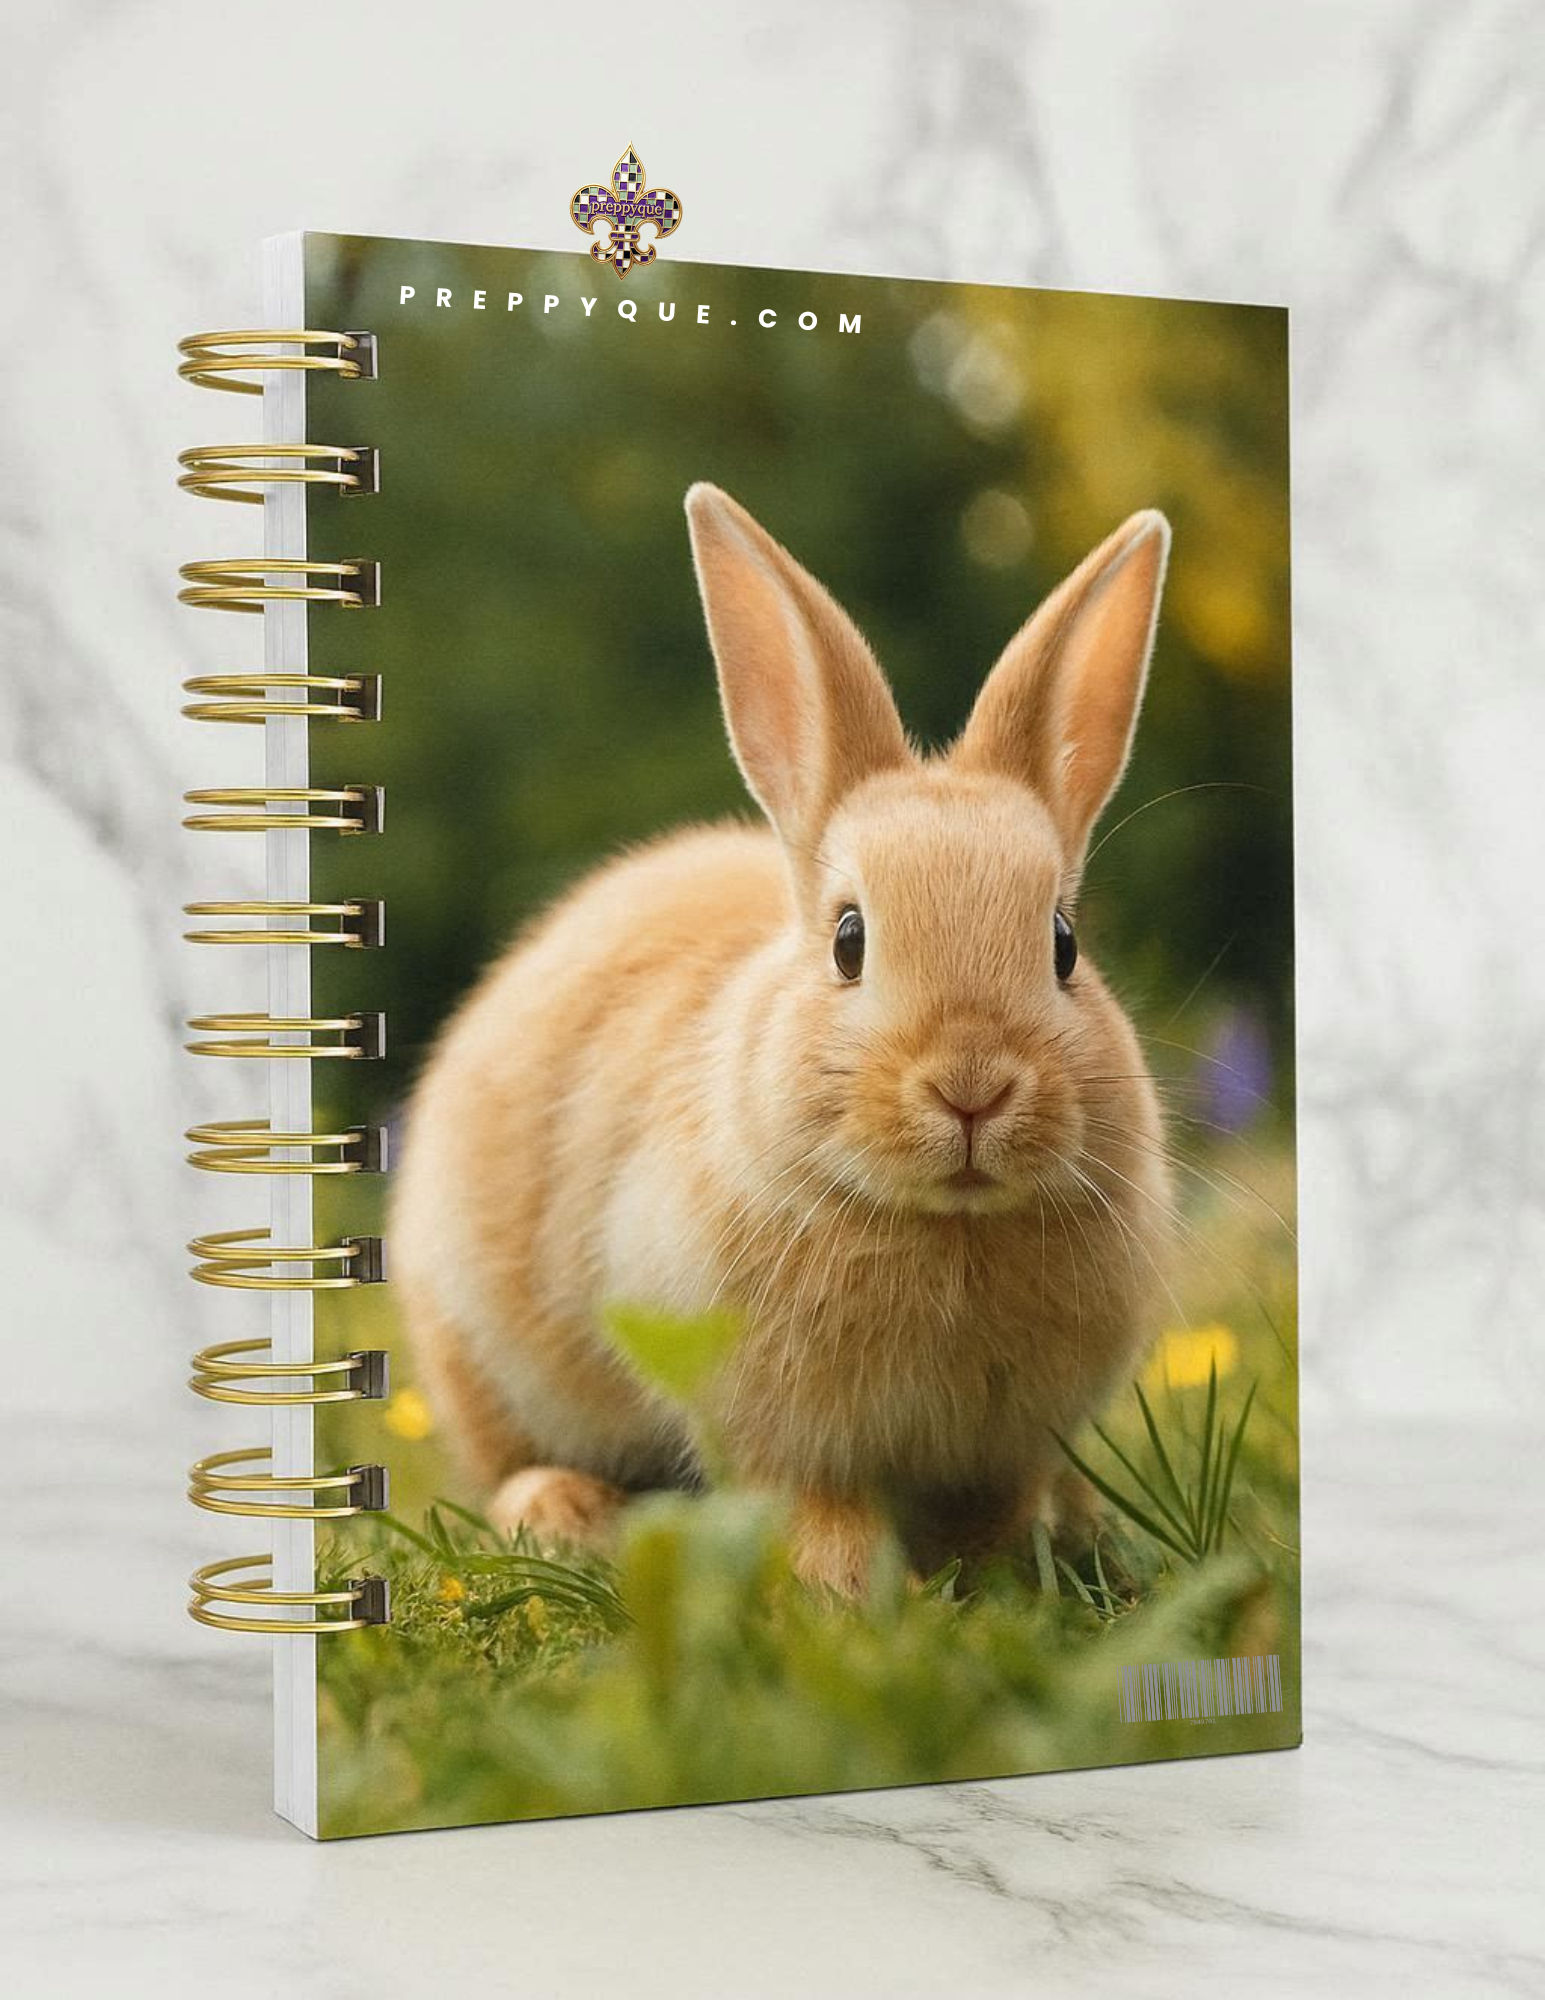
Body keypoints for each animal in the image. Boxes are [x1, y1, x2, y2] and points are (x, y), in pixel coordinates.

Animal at [390, 486, 1174, 1593]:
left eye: (1063, 944)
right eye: (849, 940)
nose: (971, 1085)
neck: (944, 1225)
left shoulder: (1004, 1446)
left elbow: (998, 1506)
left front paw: (1012, 1569)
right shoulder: (772, 1428)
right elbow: (816, 1507)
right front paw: (854, 1591)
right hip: (475, 1353)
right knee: (508, 1465)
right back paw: (564, 1510)